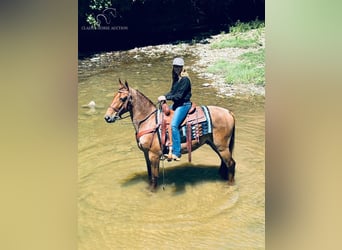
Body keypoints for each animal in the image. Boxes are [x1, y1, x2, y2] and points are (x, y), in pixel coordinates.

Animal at [103, 80, 235, 191]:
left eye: (123, 98)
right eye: (114, 96)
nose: (107, 117)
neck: (148, 121)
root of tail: (229, 112)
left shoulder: (154, 155)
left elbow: (154, 177)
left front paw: (151, 193)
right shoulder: (146, 153)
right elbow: (149, 174)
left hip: (222, 147)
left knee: (231, 164)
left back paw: (230, 185)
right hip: (214, 145)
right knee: (224, 163)